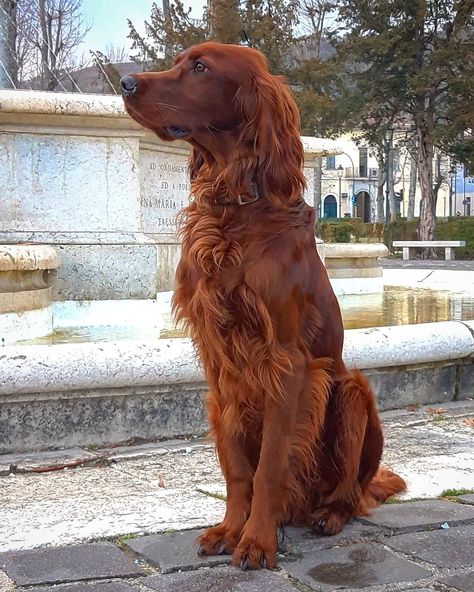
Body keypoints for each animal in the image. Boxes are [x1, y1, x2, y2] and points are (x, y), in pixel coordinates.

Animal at [120, 40, 406, 568]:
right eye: (180, 59)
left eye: (200, 67)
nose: (126, 83)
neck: (233, 208)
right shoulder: (220, 365)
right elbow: (237, 467)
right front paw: (231, 529)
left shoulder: (287, 363)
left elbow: (270, 463)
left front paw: (256, 541)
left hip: (350, 391)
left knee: (352, 495)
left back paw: (329, 515)